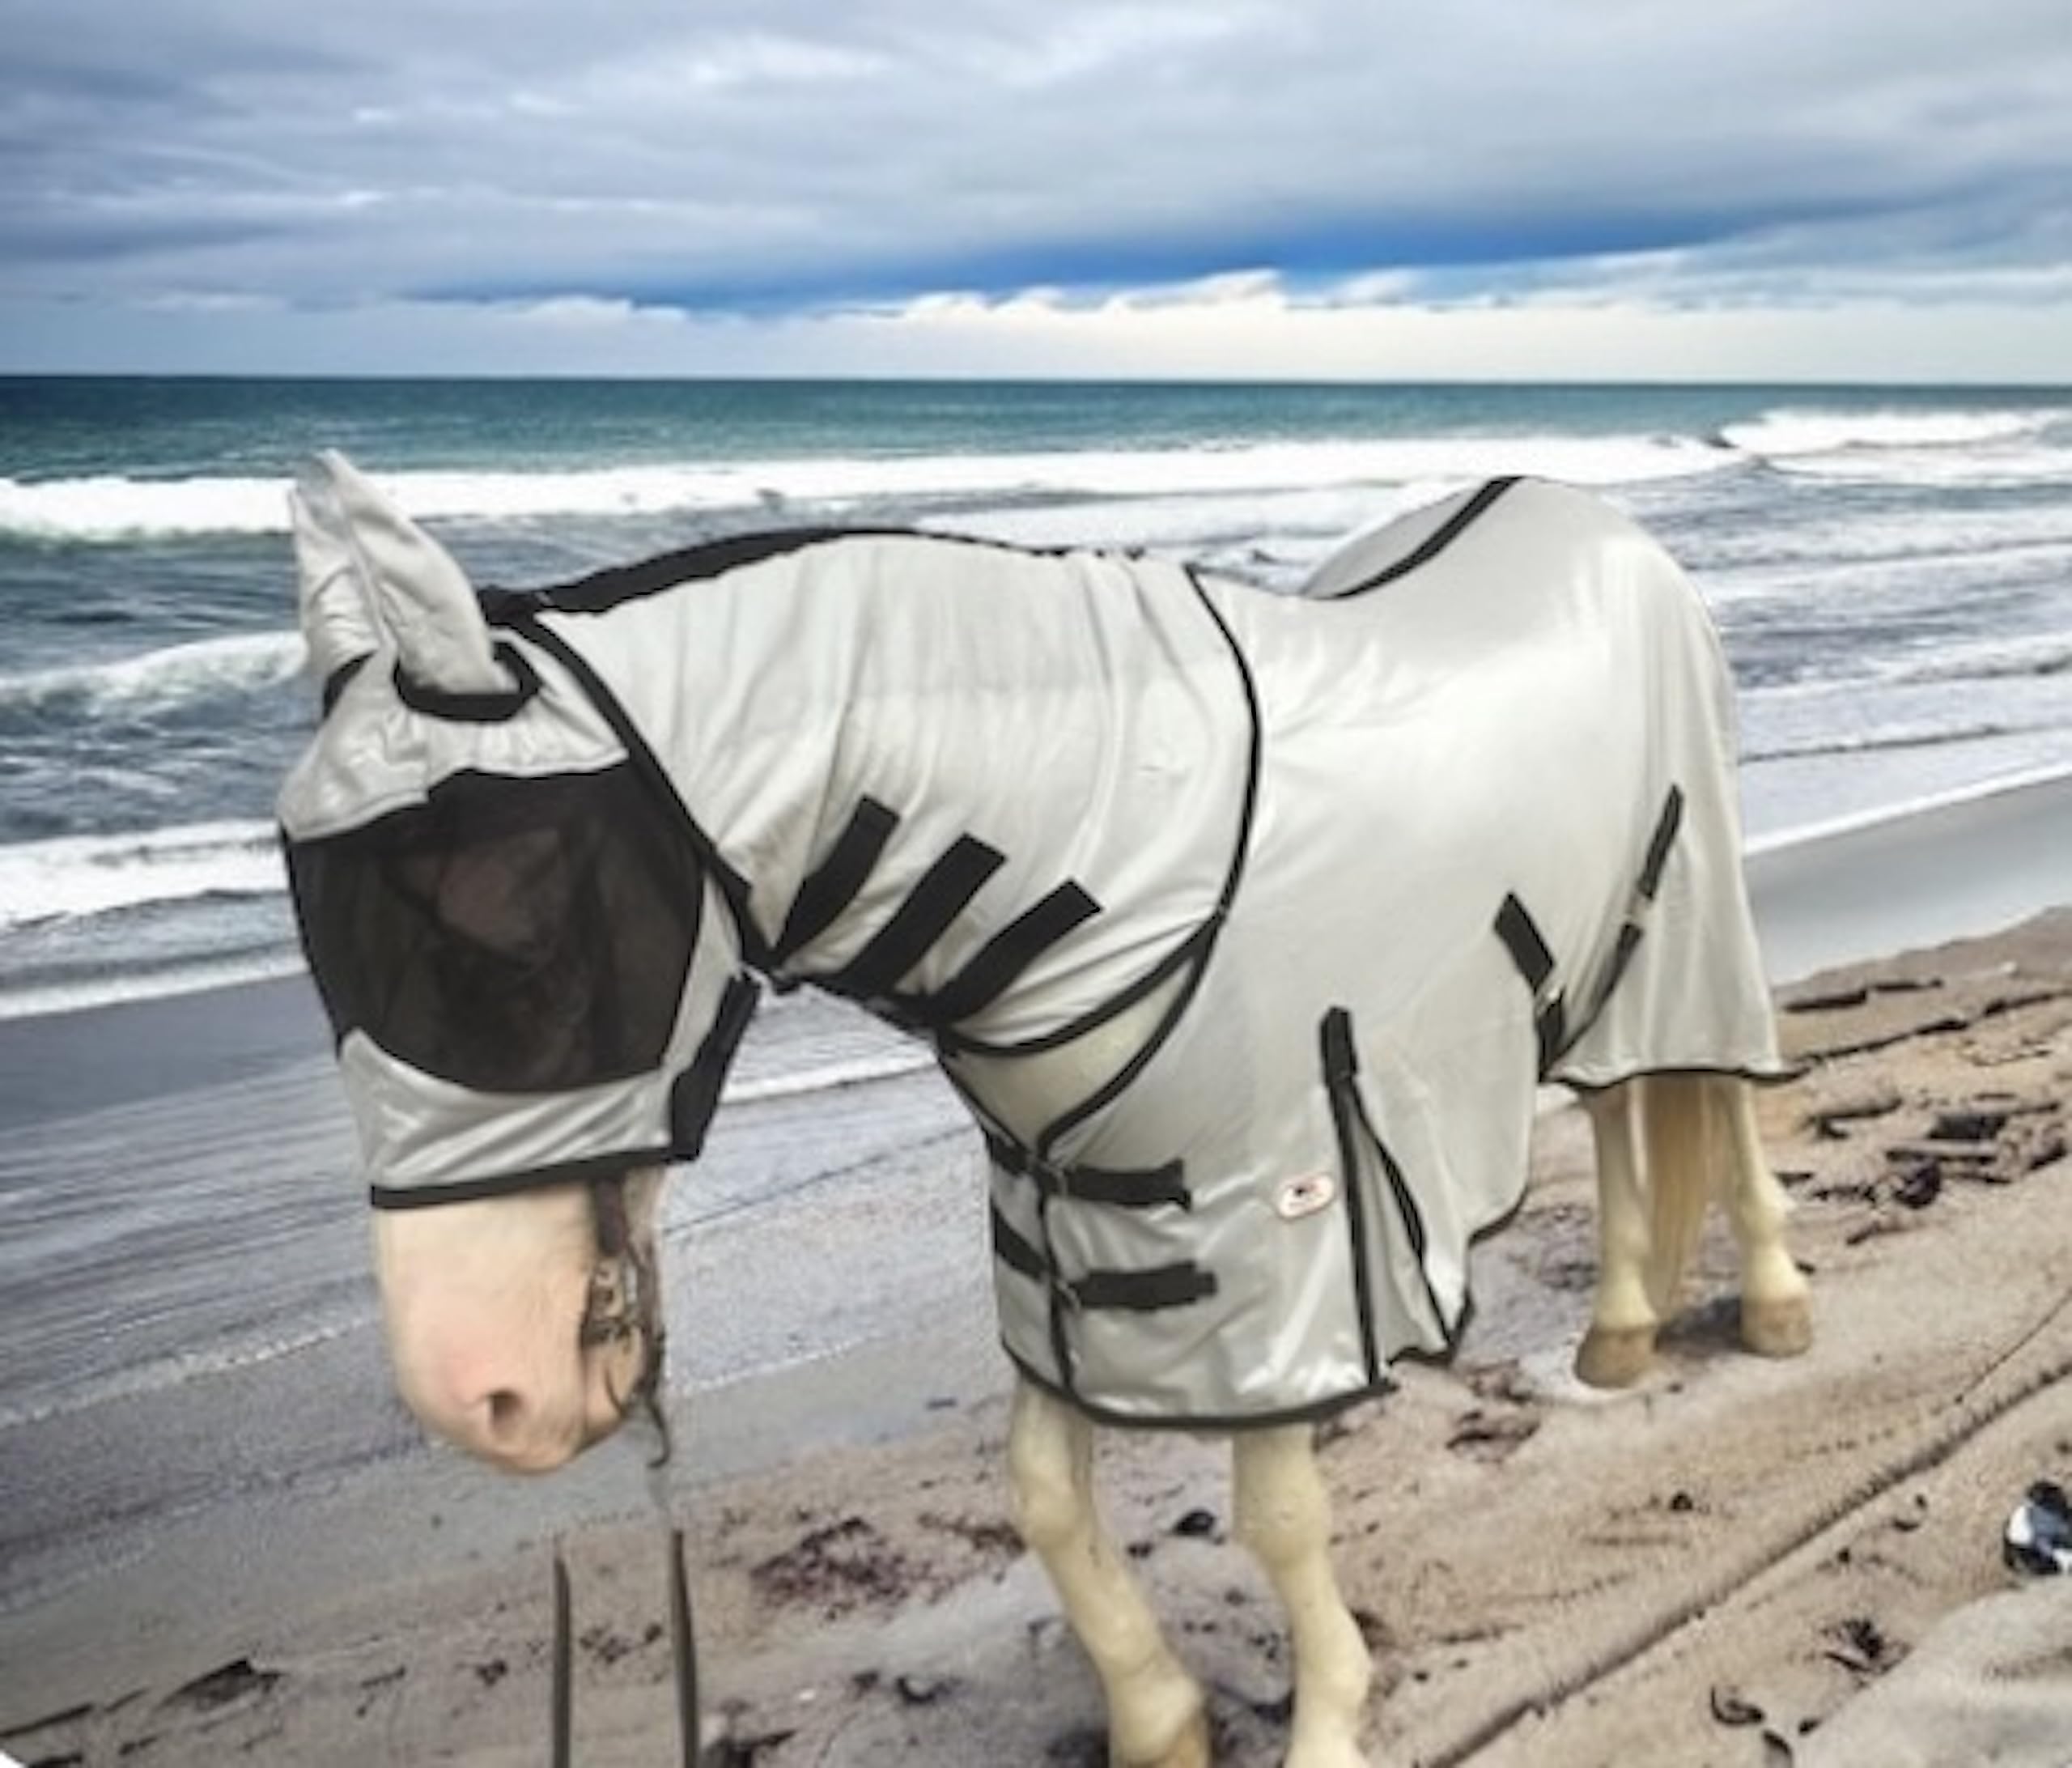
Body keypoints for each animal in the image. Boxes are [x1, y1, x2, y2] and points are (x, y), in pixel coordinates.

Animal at [278, 451, 1812, 1768]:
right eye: (320, 939)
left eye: (501, 940)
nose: (480, 1393)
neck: (1129, 834)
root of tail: (1578, 511)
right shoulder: (1061, 1216)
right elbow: (1046, 1496)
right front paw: (1158, 1717)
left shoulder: (1287, 1218)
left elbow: (1277, 1514)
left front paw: (1325, 1718)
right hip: (1600, 959)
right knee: (1617, 1113)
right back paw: (1619, 1329)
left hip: (1696, 915)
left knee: (1719, 1099)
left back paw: (1774, 1303)